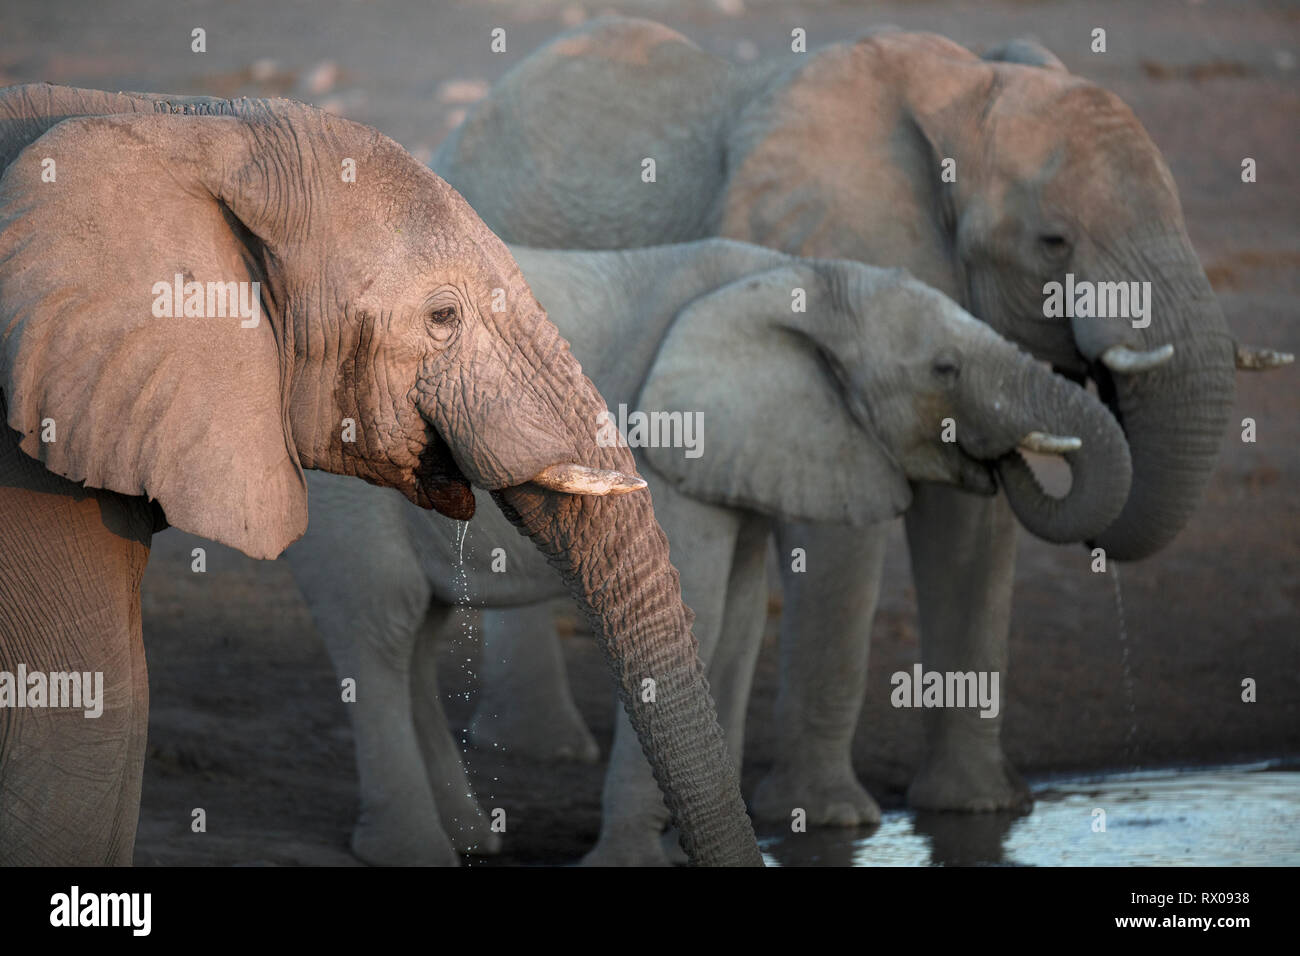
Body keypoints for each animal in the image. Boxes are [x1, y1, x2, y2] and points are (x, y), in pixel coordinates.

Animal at [285, 236, 1134, 865]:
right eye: (944, 369)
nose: (1003, 459)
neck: (794, 276)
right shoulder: (670, 445)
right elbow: (700, 607)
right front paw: (633, 862)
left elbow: (737, 627)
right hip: (347, 487)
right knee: (382, 626)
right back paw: (411, 851)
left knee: (418, 637)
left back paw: (472, 844)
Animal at [430, 18, 1291, 862]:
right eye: (1053, 242)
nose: (1095, 375)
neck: (962, 95)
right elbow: (839, 545)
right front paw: (832, 821)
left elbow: (972, 538)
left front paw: (980, 808)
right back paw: (547, 750)